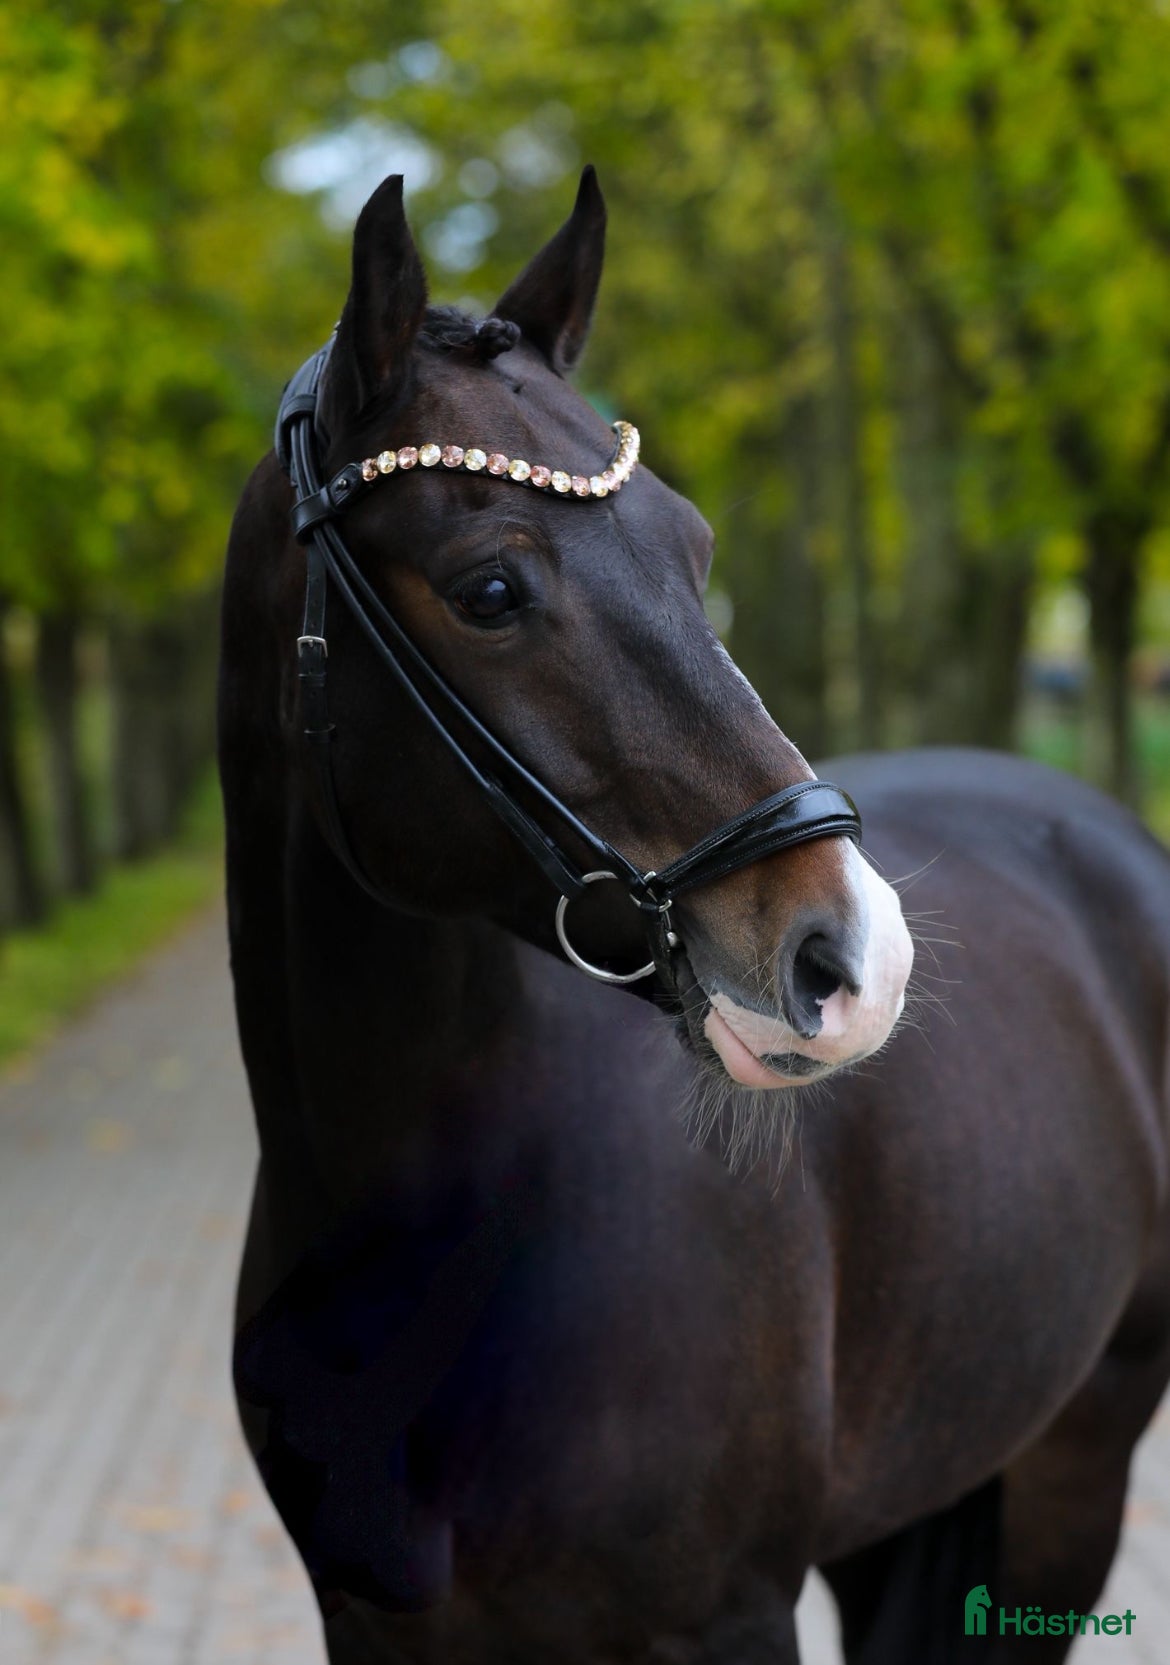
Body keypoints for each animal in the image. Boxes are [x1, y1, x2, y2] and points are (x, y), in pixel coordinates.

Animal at [218, 168, 1170, 1663]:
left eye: (697, 546)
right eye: (492, 587)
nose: (856, 958)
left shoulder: (720, 1618)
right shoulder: (373, 1623)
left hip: (1074, 1468)